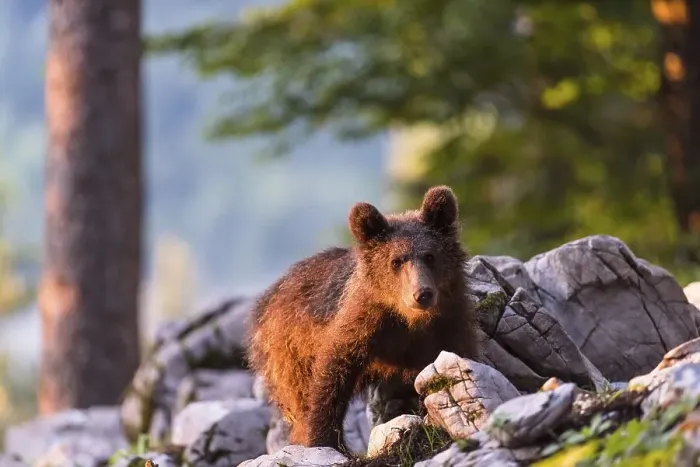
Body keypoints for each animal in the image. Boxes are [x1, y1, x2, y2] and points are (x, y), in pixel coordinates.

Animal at [246, 185, 479, 451]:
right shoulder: (362, 322)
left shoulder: (450, 320)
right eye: (396, 261)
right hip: (288, 350)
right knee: (298, 396)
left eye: (430, 256)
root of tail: (269, 296)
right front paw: (324, 439)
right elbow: (332, 375)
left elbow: (458, 356)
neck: (409, 319)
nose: (422, 293)